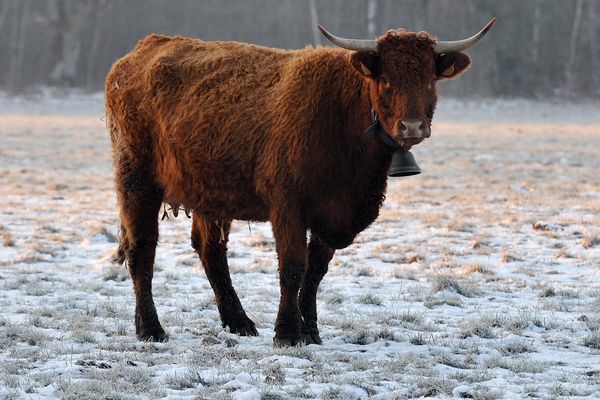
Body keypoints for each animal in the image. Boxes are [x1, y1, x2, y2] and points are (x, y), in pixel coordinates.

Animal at [105, 18, 494, 346]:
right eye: (386, 79)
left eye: (429, 79)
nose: (412, 127)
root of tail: (144, 48)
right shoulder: (288, 205)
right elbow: (293, 267)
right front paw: (288, 333)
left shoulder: (334, 215)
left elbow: (315, 272)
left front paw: (311, 331)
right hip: (136, 180)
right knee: (142, 250)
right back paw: (150, 329)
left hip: (208, 191)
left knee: (209, 250)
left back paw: (239, 321)